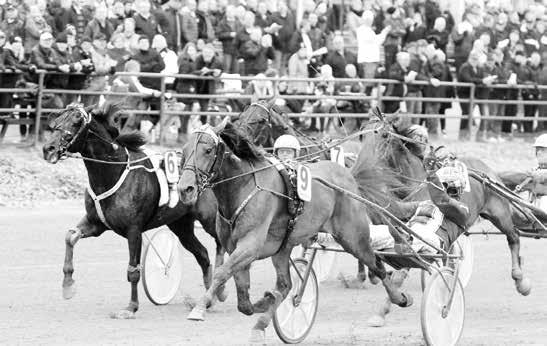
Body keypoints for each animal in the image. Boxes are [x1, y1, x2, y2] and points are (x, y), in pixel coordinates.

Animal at [40, 102, 225, 318]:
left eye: (76, 122)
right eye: (57, 121)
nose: (48, 148)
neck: (113, 172)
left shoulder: (133, 230)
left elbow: (133, 270)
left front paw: (131, 307)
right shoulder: (96, 224)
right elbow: (70, 237)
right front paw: (68, 285)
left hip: (209, 219)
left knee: (223, 243)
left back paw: (220, 290)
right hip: (181, 226)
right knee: (202, 255)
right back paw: (209, 298)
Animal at [178, 119, 414, 344]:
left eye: (208, 149)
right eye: (184, 150)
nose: (185, 189)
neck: (243, 186)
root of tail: (347, 176)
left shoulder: (250, 245)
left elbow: (221, 273)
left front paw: (199, 308)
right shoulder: (235, 248)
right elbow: (242, 297)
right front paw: (262, 301)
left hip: (353, 237)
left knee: (377, 265)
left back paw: (399, 298)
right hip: (284, 247)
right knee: (285, 285)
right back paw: (262, 321)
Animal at [358, 109, 532, 326]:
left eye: (383, 135)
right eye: (361, 134)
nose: (363, 162)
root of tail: (487, 170)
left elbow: (403, 271)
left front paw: (384, 309)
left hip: (499, 212)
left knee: (514, 237)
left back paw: (520, 281)